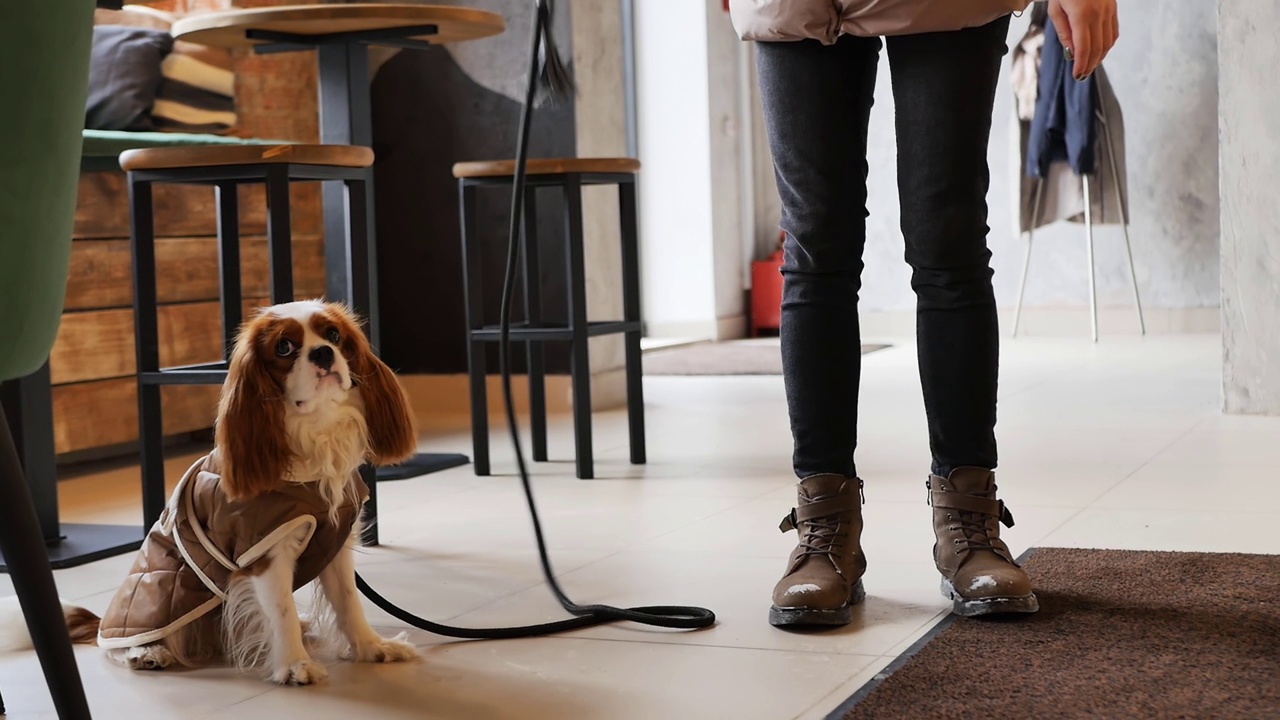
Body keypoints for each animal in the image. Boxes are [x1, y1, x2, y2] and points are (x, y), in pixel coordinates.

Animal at [1, 298, 419, 681]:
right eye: (284, 347)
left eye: (333, 335)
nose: (322, 353)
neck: (313, 437)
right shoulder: (263, 553)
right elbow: (280, 609)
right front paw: (295, 665)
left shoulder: (333, 545)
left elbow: (348, 603)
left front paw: (371, 648)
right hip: (160, 600)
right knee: (120, 643)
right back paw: (145, 652)